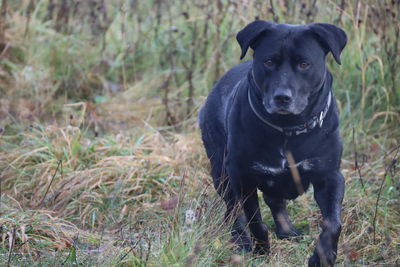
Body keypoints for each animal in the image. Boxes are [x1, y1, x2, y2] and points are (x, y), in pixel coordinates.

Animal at [199, 21, 346, 267]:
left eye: (304, 63)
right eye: (268, 62)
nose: (282, 97)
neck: (287, 130)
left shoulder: (330, 176)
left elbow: (333, 223)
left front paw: (323, 256)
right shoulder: (243, 177)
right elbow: (254, 220)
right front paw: (261, 251)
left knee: (275, 202)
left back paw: (287, 231)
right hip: (221, 173)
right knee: (234, 210)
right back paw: (240, 240)